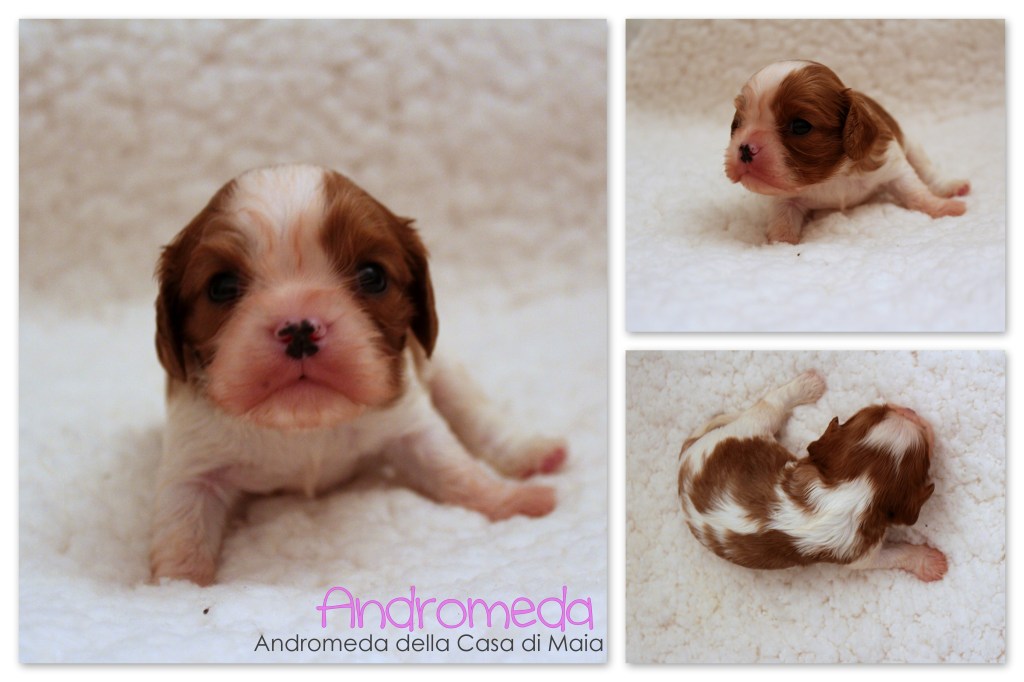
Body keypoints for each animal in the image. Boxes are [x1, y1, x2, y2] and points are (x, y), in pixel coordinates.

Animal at [151, 164, 567, 585]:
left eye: (372, 276)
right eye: (221, 286)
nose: (299, 327)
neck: (303, 423)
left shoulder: (410, 425)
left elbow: (458, 472)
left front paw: (508, 500)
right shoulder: (195, 463)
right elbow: (182, 532)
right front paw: (179, 590)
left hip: (445, 372)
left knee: (478, 417)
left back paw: (534, 453)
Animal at [677, 370, 947, 581]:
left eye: (877, 410)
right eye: (927, 452)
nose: (909, 411)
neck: (852, 489)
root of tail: (684, 459)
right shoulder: (860, 554)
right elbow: (894, 555)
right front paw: (929, 561)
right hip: (752, 426)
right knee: (771, 405)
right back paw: (808, 383)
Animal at [724, 60, 970, 244]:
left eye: (800, 126)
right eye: (737, 123)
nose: (744, 148)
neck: (832, 176)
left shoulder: (892, 164)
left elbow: (916, 192)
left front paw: (941, 207)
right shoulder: (785, 199)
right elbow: (782, 221)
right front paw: (780, 246)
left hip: (913, 146)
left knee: (927, 171)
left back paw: (951, 187)